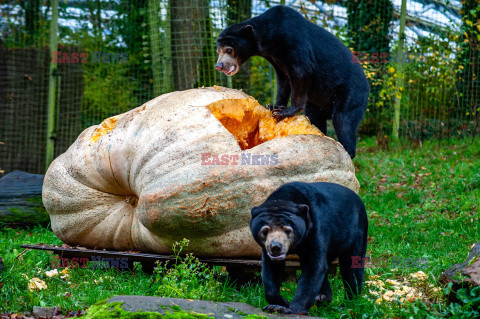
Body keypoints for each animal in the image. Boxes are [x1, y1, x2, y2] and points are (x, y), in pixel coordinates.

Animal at [216, 5, 370, 159]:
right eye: (218, 51)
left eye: (229, 50)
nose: (219, 66)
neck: (269, 43)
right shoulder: (276, 59)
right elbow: (283, 80)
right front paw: (274, 106)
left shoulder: (292, 40)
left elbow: (302, 71)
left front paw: (285, 111)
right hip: (318, 103)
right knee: (316, 116)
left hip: (351, 93)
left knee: (343, 120)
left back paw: (346, 150)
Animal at [249, 182, 370, 316]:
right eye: (265, 230)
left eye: (288, 230)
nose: (276, 247)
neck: (281, 201)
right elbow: (271, 269)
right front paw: (278, 304)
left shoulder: (316, 229)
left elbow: (314, 267)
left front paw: (290, 309)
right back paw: (323, 297)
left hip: (357, 231)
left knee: (352, 266)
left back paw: (348, 303)